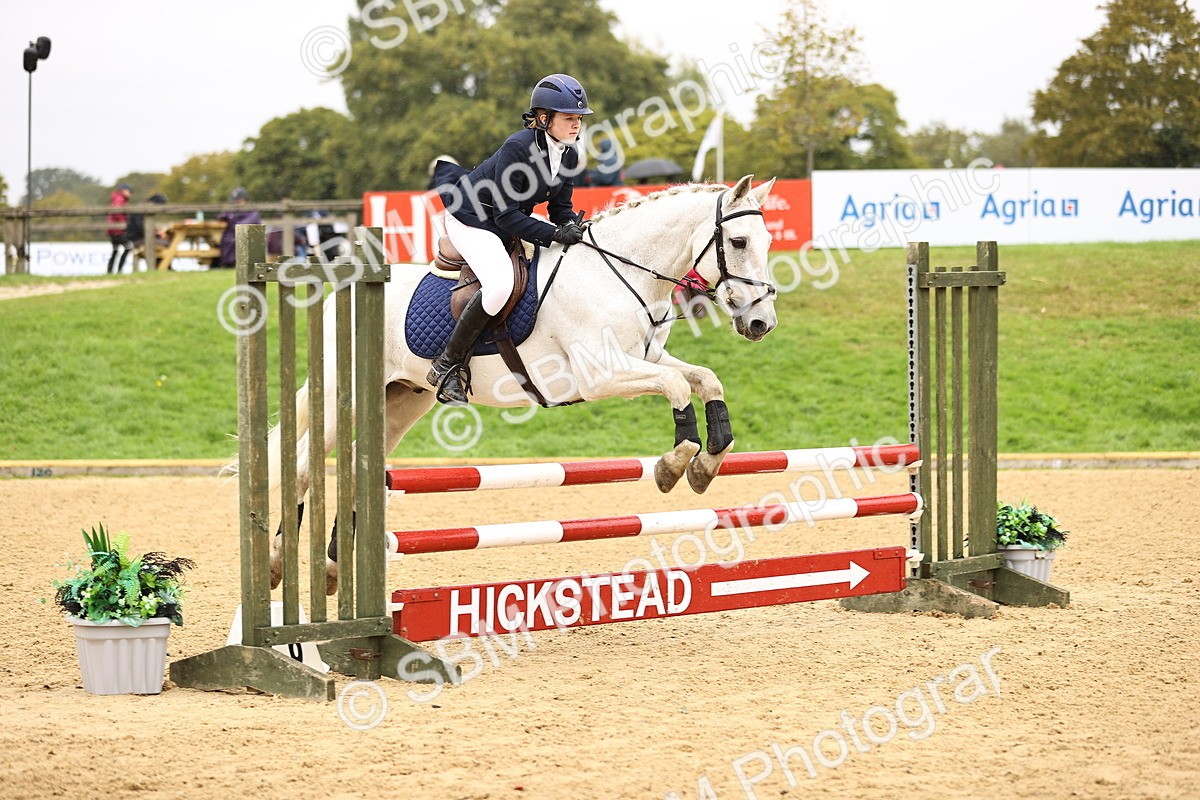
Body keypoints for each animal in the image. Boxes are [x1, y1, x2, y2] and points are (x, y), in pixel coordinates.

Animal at [267, 174, 780, 594]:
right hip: (345, 397)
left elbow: (704, 380)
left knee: (358, 466)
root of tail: (343, 293)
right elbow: (676, 386)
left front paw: (707, 463)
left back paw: (332, 570)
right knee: (303, 466)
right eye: (738, 241)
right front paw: (674, 465)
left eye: (768, 240)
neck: (616, 274)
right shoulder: (602, 373)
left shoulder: (645, 358)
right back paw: (276, 567)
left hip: (401, 401)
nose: (761, 323)